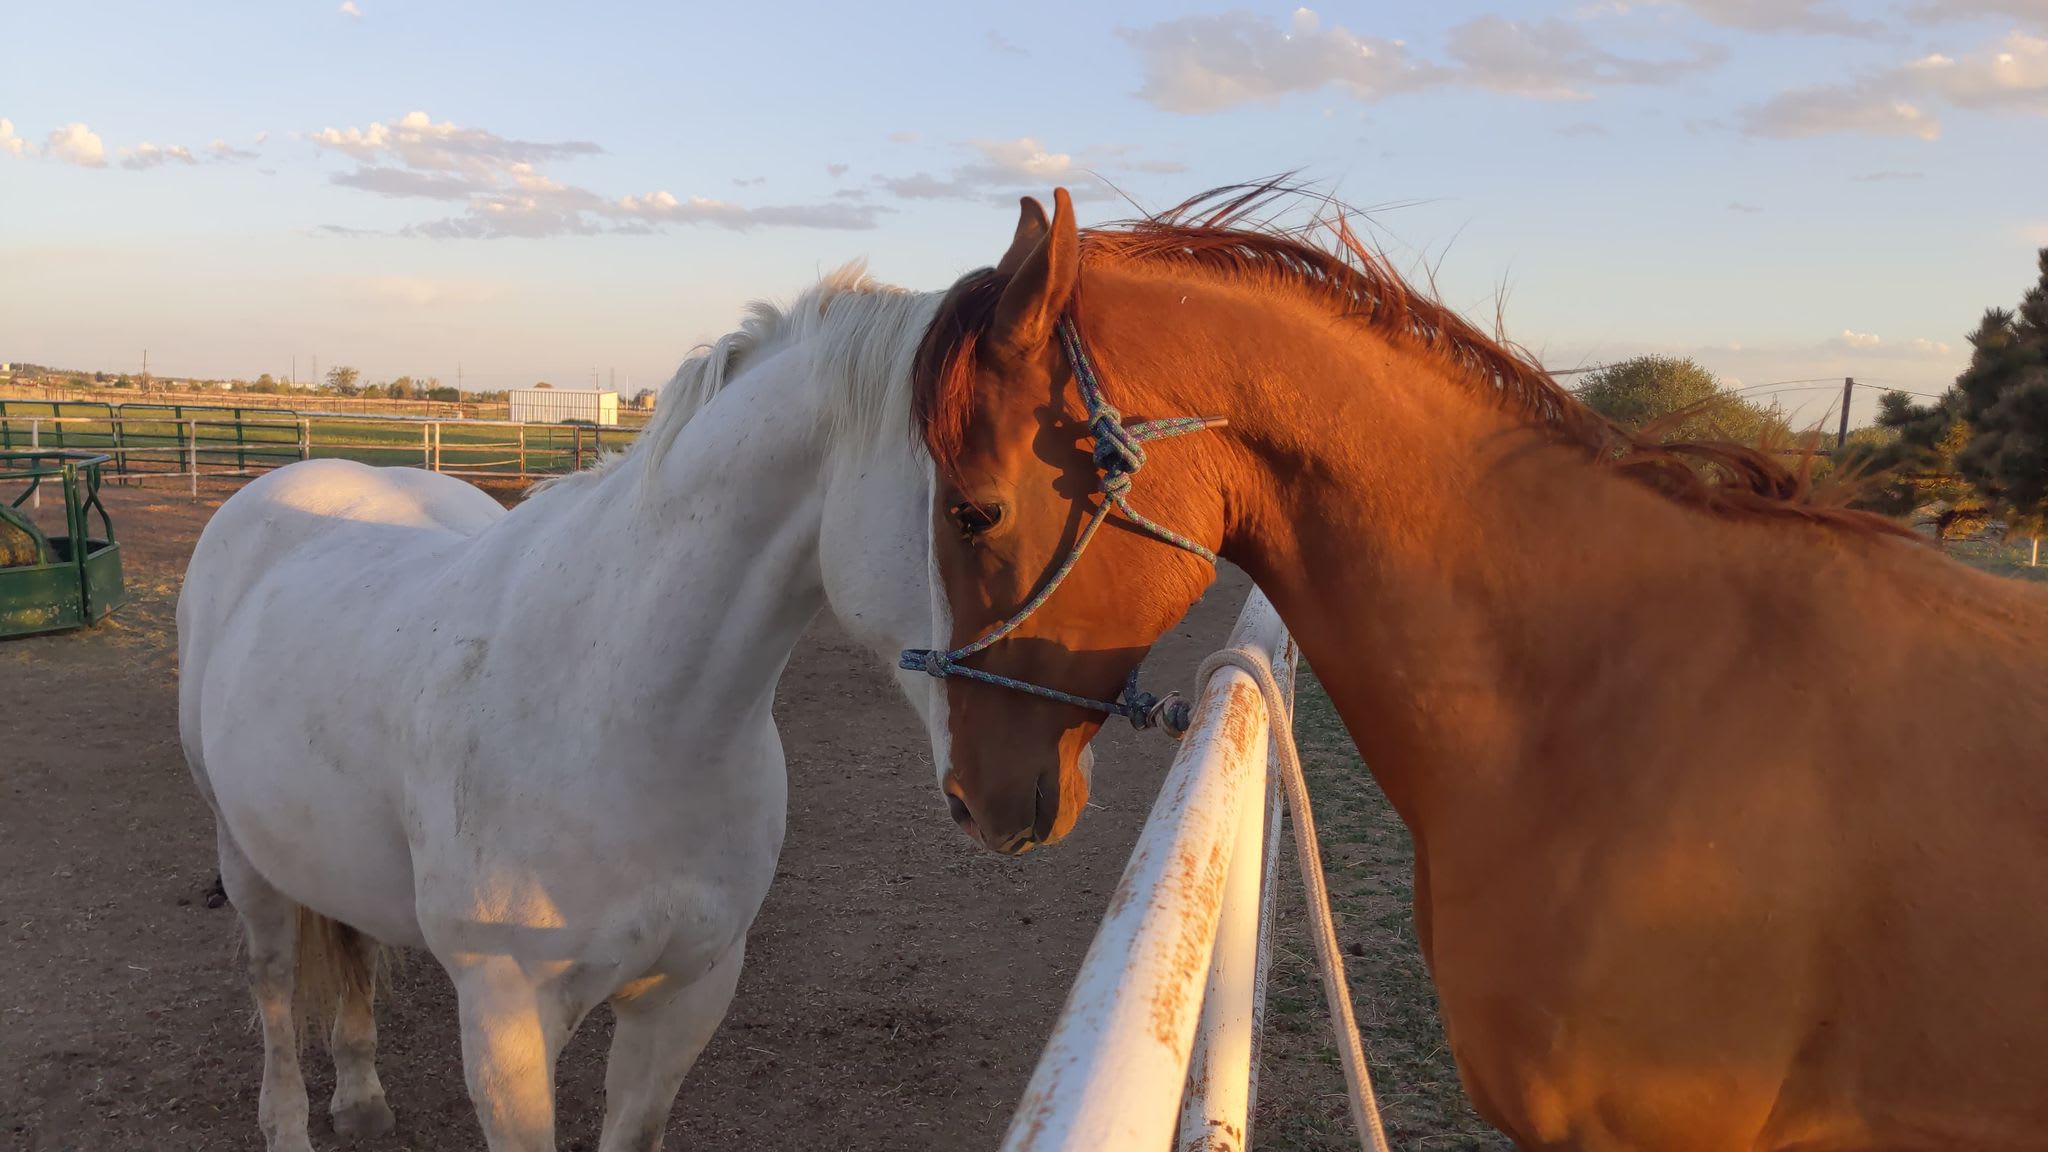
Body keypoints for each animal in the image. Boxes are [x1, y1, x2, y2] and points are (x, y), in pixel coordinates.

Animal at [177, 265, 951, 1152]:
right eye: (976, 508)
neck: (622, 711)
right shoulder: (508, 1020)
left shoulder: (688, 992)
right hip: (244, 854)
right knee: (272, 983)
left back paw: (362, 1095)